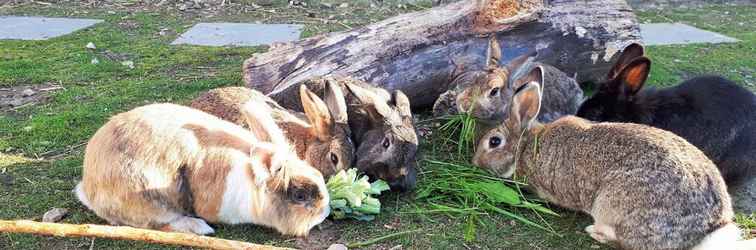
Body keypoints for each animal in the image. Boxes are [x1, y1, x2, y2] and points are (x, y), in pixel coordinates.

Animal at [472, 81, 752, 249]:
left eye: (494, 142)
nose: (474, 162)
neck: (527, 145)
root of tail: (708, 228)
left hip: (611, 204)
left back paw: (593, 231)